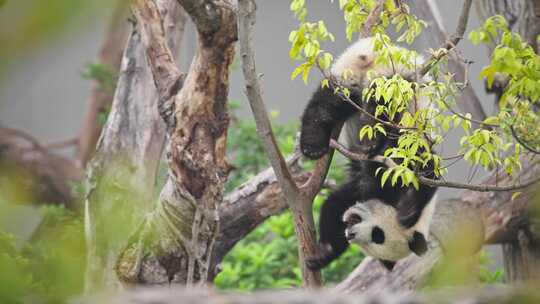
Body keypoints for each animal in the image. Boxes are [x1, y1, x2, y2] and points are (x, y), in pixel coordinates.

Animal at [300, 36, 438, 270]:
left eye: (375, 238)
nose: (351, 233)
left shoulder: (358, 195)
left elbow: (335, 204)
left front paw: (324, 253)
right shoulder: (407, 152)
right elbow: (422, 170)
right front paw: (408, 212)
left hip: (348, 76)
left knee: (329, 101)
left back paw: (314, 141)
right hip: (397, 78)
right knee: (384, 100)